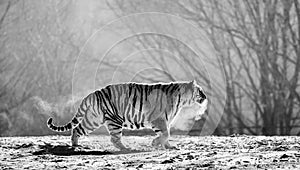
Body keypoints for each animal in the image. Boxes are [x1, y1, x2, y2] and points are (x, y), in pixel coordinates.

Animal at [47, 80, 207, 150]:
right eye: (200, 90)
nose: (205, 97)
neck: (182, 99)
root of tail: (93, 93)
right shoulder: (159, 119)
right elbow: (165, 133)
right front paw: (155, 143)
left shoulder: (165, 121)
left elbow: (166, 134)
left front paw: (168, 146)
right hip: (115, 120)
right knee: (114, 139)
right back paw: (126, 149)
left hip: (93, 119)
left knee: (77, 129)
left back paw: (75, 145)